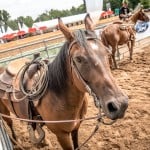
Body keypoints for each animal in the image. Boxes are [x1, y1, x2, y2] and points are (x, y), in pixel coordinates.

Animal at [0, 14, 127, 149]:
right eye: (78, 59)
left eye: (107, 52)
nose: (120, 105)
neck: (60, 98)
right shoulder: (62, 135)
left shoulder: (76, 128)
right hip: (4, 113)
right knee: (10, 125)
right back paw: (16, 141)